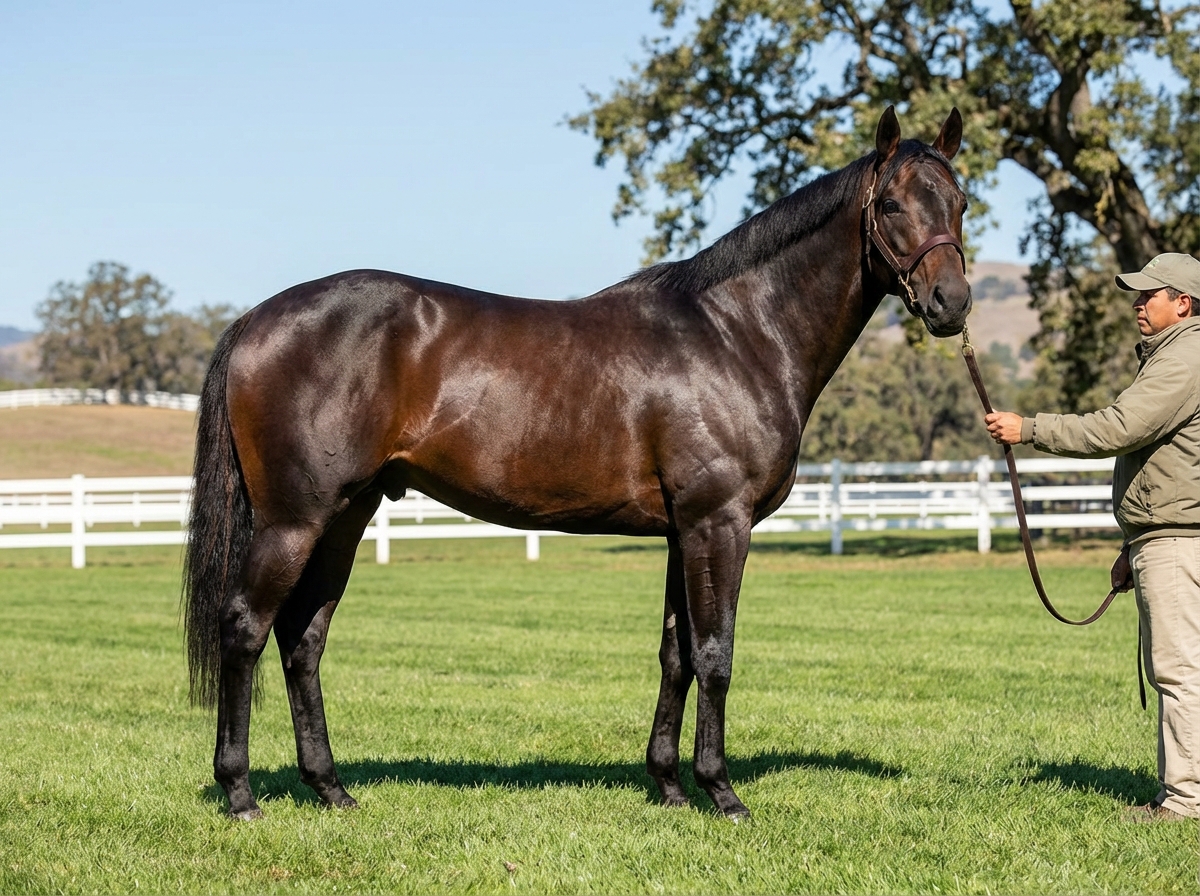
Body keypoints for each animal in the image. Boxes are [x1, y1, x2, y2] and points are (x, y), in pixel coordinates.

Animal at [184, 105, 971, 820]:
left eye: (961, 202)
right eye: (893, 204)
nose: (952, 303)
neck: (736, 333)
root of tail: (256, 319)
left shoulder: (683, 531)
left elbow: (677, 655)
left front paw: (668, 787)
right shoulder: (719, 524)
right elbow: (715, 654)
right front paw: (720, 793)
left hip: (346, 516)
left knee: (303, 640)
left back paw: (331, 789)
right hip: (293, 520)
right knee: (245, 629)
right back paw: (240, 794)